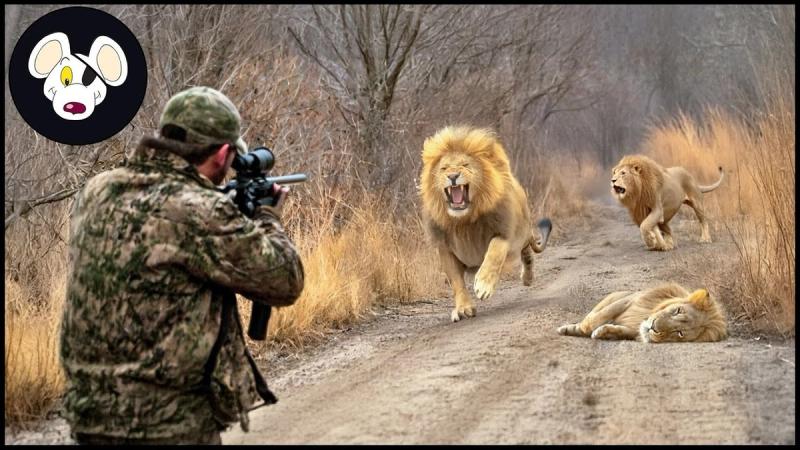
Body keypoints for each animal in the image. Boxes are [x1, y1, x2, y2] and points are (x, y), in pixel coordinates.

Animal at [420, 126, 552, 322]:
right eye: (444, 168)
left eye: (465, 165)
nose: (452, 176)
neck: (464, 220)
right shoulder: (445, 249)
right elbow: (457, 282)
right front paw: (463, 308)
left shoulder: (503, 232)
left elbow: (494, 255)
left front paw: (483, 286)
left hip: (521, 233)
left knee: (527, 253)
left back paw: (527, 278)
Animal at [557, 283, 728, 343]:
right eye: (677, 311)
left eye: (679, 333)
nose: (654, 327)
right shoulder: (628, 301)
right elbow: (596, 319)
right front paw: (583, 329)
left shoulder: (633, 330)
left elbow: (619, 330)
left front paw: (602, 332)